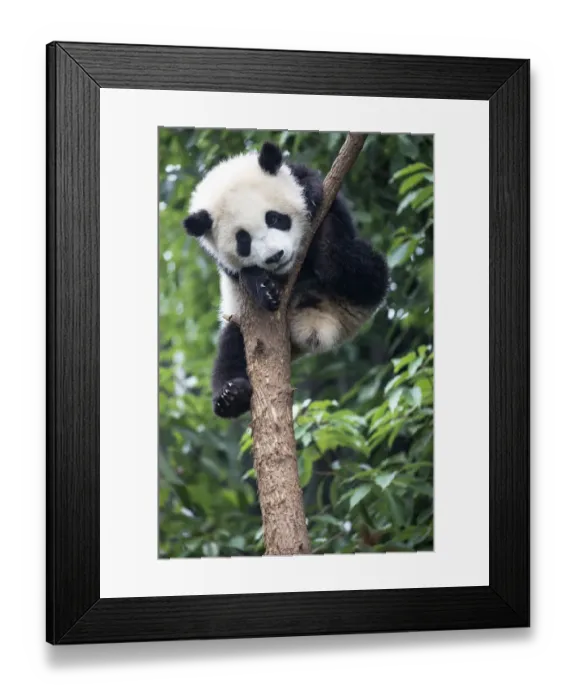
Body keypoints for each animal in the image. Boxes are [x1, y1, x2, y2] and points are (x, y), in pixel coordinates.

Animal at [183, 141, 389, 419]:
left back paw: (328, 248)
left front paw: (311, 200)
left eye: (274, 218)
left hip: (356, 295)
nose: (275, 256)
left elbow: (319, 192)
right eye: (243, 240)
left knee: (368, 275)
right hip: (241, 320)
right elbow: (238, 273)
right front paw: (262, 286)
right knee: (231, 350)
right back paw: (230, 396)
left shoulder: (309, 182)